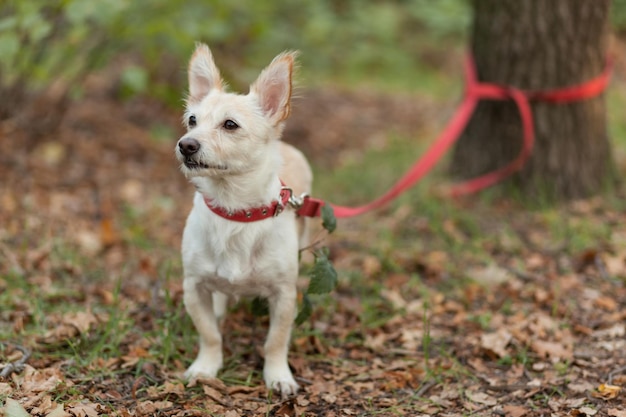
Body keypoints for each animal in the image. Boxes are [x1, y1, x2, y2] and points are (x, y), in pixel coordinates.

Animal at [174, 44, 310, 394]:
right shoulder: (193, 287)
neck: (234, 211)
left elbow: (276, 340)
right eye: (192, 120)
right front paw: (205, 367)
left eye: (230, 125)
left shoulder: (283, 295)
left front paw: (278, 375)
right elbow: (209, 334)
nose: (185, 144)